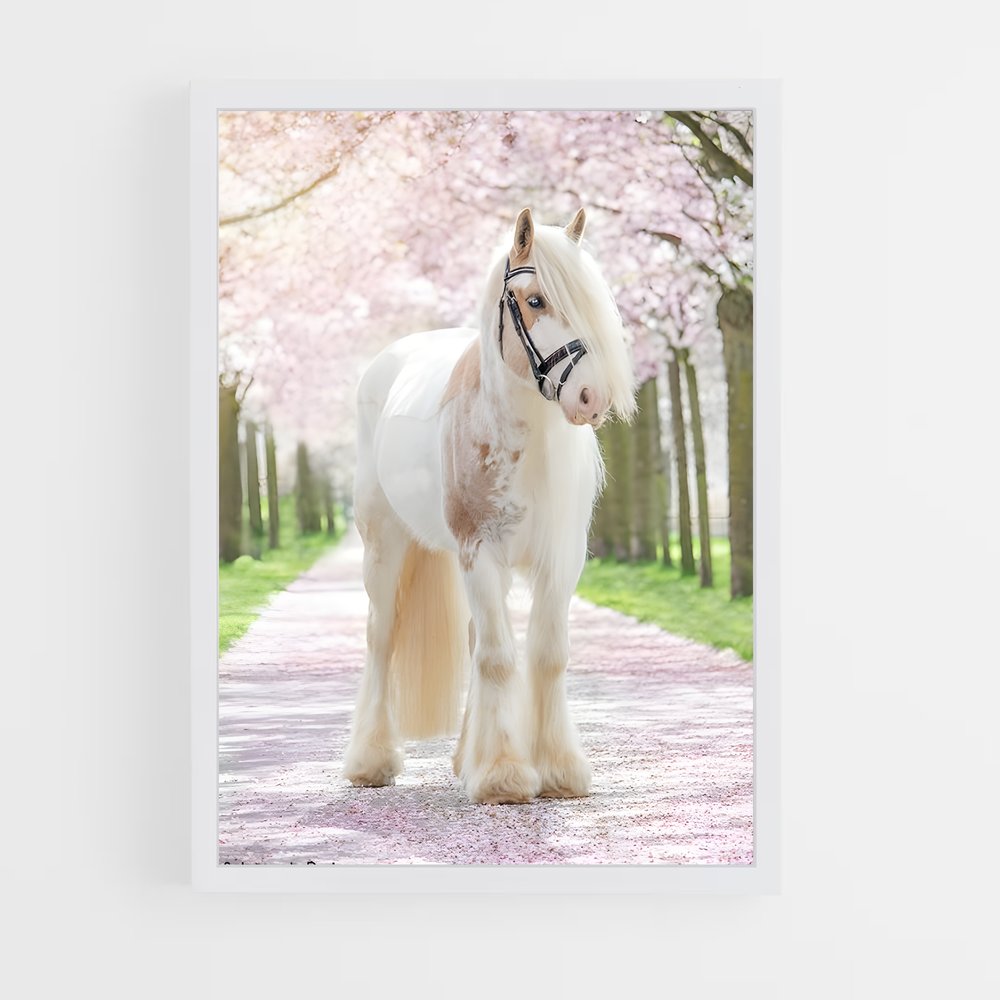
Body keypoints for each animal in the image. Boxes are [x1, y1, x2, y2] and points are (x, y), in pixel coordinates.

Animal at [342, 207, 636, 804]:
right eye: (536, 300)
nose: (591, 398)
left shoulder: (559, 560)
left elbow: (546, 655)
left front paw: (559, 770)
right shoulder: (480, 551)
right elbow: (500, 658)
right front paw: (503, 775)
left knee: (477, 638)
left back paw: (463, 759)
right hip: (383, 546)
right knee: (382, 636)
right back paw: (371, 761)